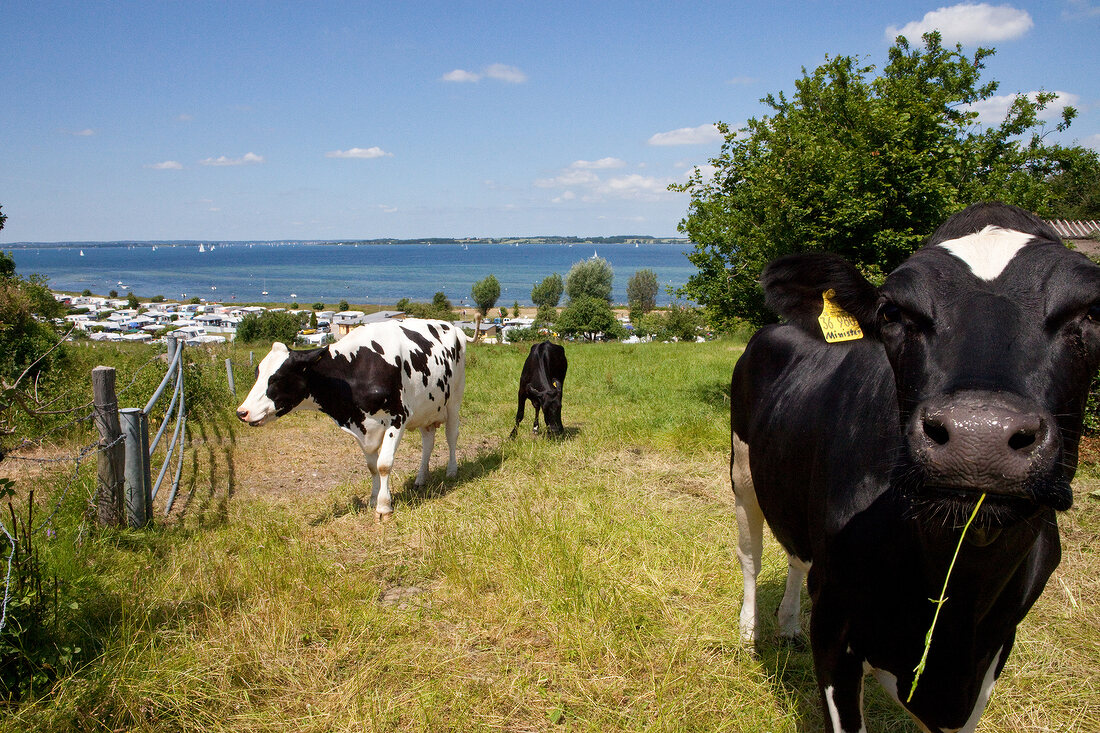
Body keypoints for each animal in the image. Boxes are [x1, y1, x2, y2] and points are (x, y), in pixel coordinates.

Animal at [235, 316, 464, 517]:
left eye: (277, 378)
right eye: (257, 373)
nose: (241, 412)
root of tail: (452, 326)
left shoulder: (397, 418)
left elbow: (384, 464)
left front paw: (384, 507)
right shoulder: (362, 427)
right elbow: (372, 466)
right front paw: (373, 499)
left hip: (454, 400)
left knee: (451, 436)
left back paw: (452, 471)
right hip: (427, 408)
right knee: (428, 442)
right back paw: (421, 478)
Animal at [730, 202, 1100, 730]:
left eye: (1093, 311)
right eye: (892, 312)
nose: (979, 435)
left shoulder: (993, 650)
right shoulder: (834, 624)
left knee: (798, 554)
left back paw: (787, 626)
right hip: (742, 473)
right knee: (751, 555)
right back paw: (749, 632)